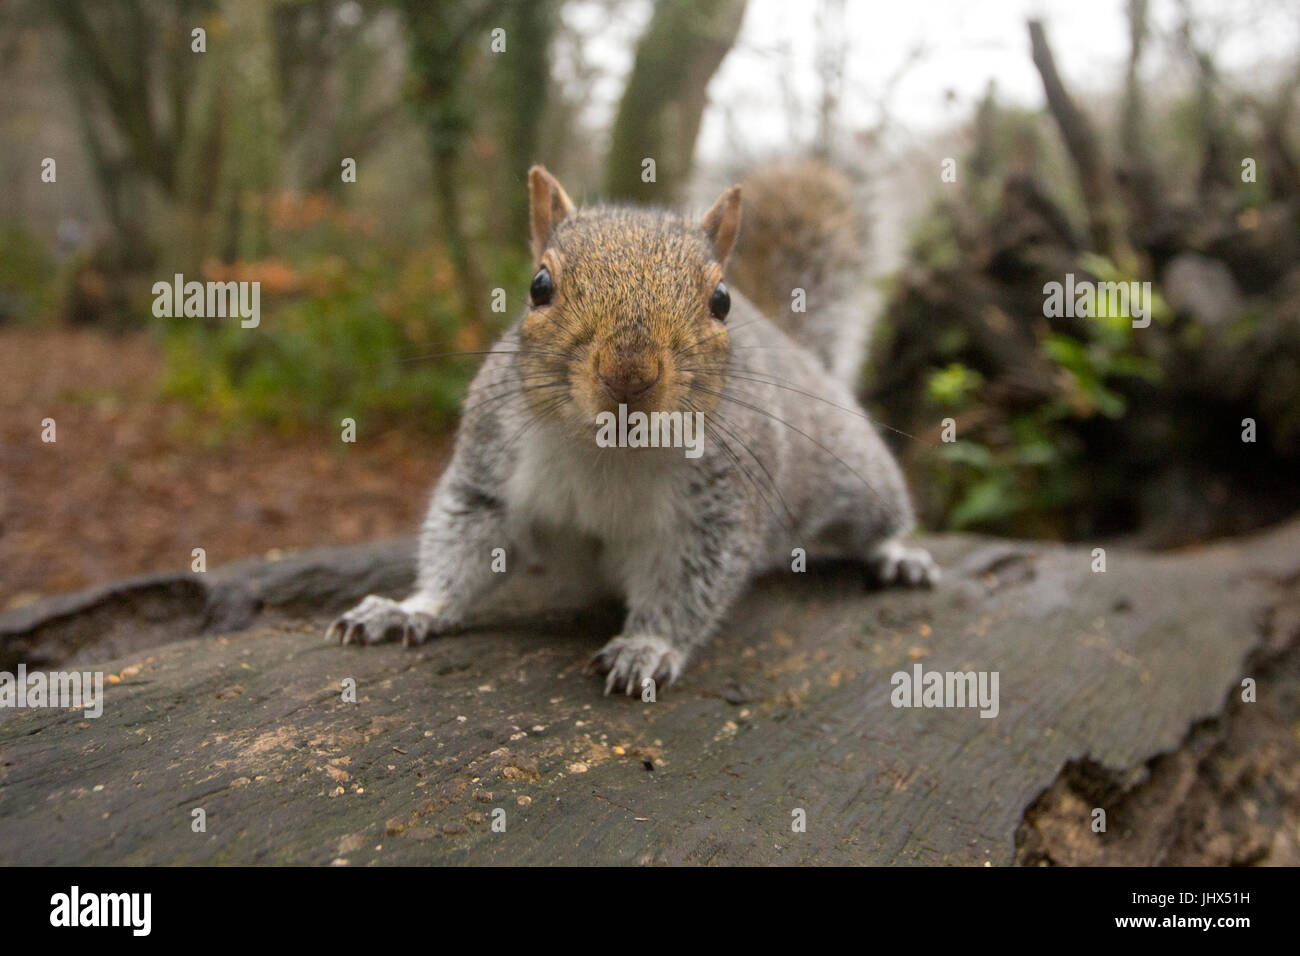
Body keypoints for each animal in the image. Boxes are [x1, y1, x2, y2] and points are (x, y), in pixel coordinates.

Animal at [325, 160, 935, 691]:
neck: (608, 451)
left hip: (852, 472)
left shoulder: (715, 513)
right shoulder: (490, 470)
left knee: (879, 517)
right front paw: (409, 609)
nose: (629, 373)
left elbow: (688, 586)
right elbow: (460, 545)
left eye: (721, 300)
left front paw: (647, 647)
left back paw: (899, 555)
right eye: (539, 286)